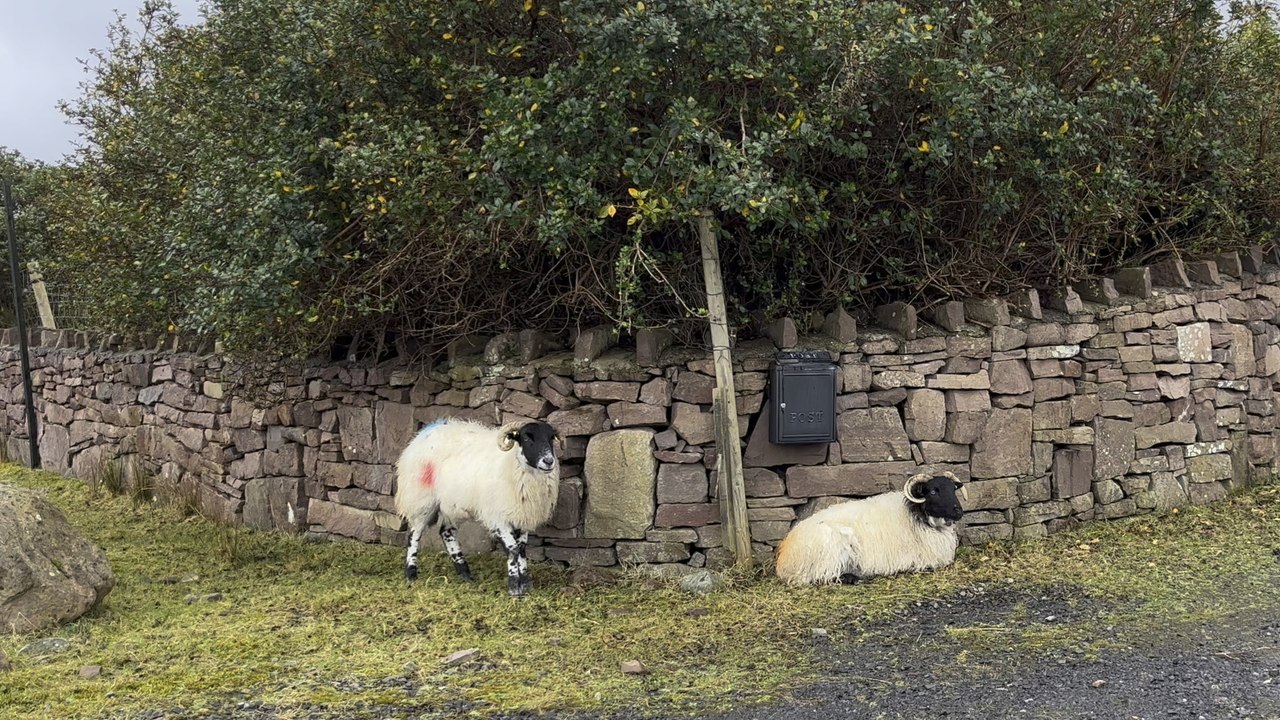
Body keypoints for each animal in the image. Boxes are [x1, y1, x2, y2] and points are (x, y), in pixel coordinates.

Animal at [393, 417, 562, 597]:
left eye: (551, 438)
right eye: (526, 438)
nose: (549, 461)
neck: (511, 464)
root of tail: (423, 434)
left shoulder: (522, 517)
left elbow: (522, 549)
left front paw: (525, 584)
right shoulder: (498, 517)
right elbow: (513, 550)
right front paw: (514, 587)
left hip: (451, 504)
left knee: (447, 532)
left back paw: (465, 573)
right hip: (421, 499)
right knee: (414, 534)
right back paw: (411, 574)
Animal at [773, 471, 968, 586]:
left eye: (953, 489)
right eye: (933, 492)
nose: (959, 511)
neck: (916, 514)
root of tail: (785, 556)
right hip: (832, 549)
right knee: (821, 576)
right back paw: (854, 577)